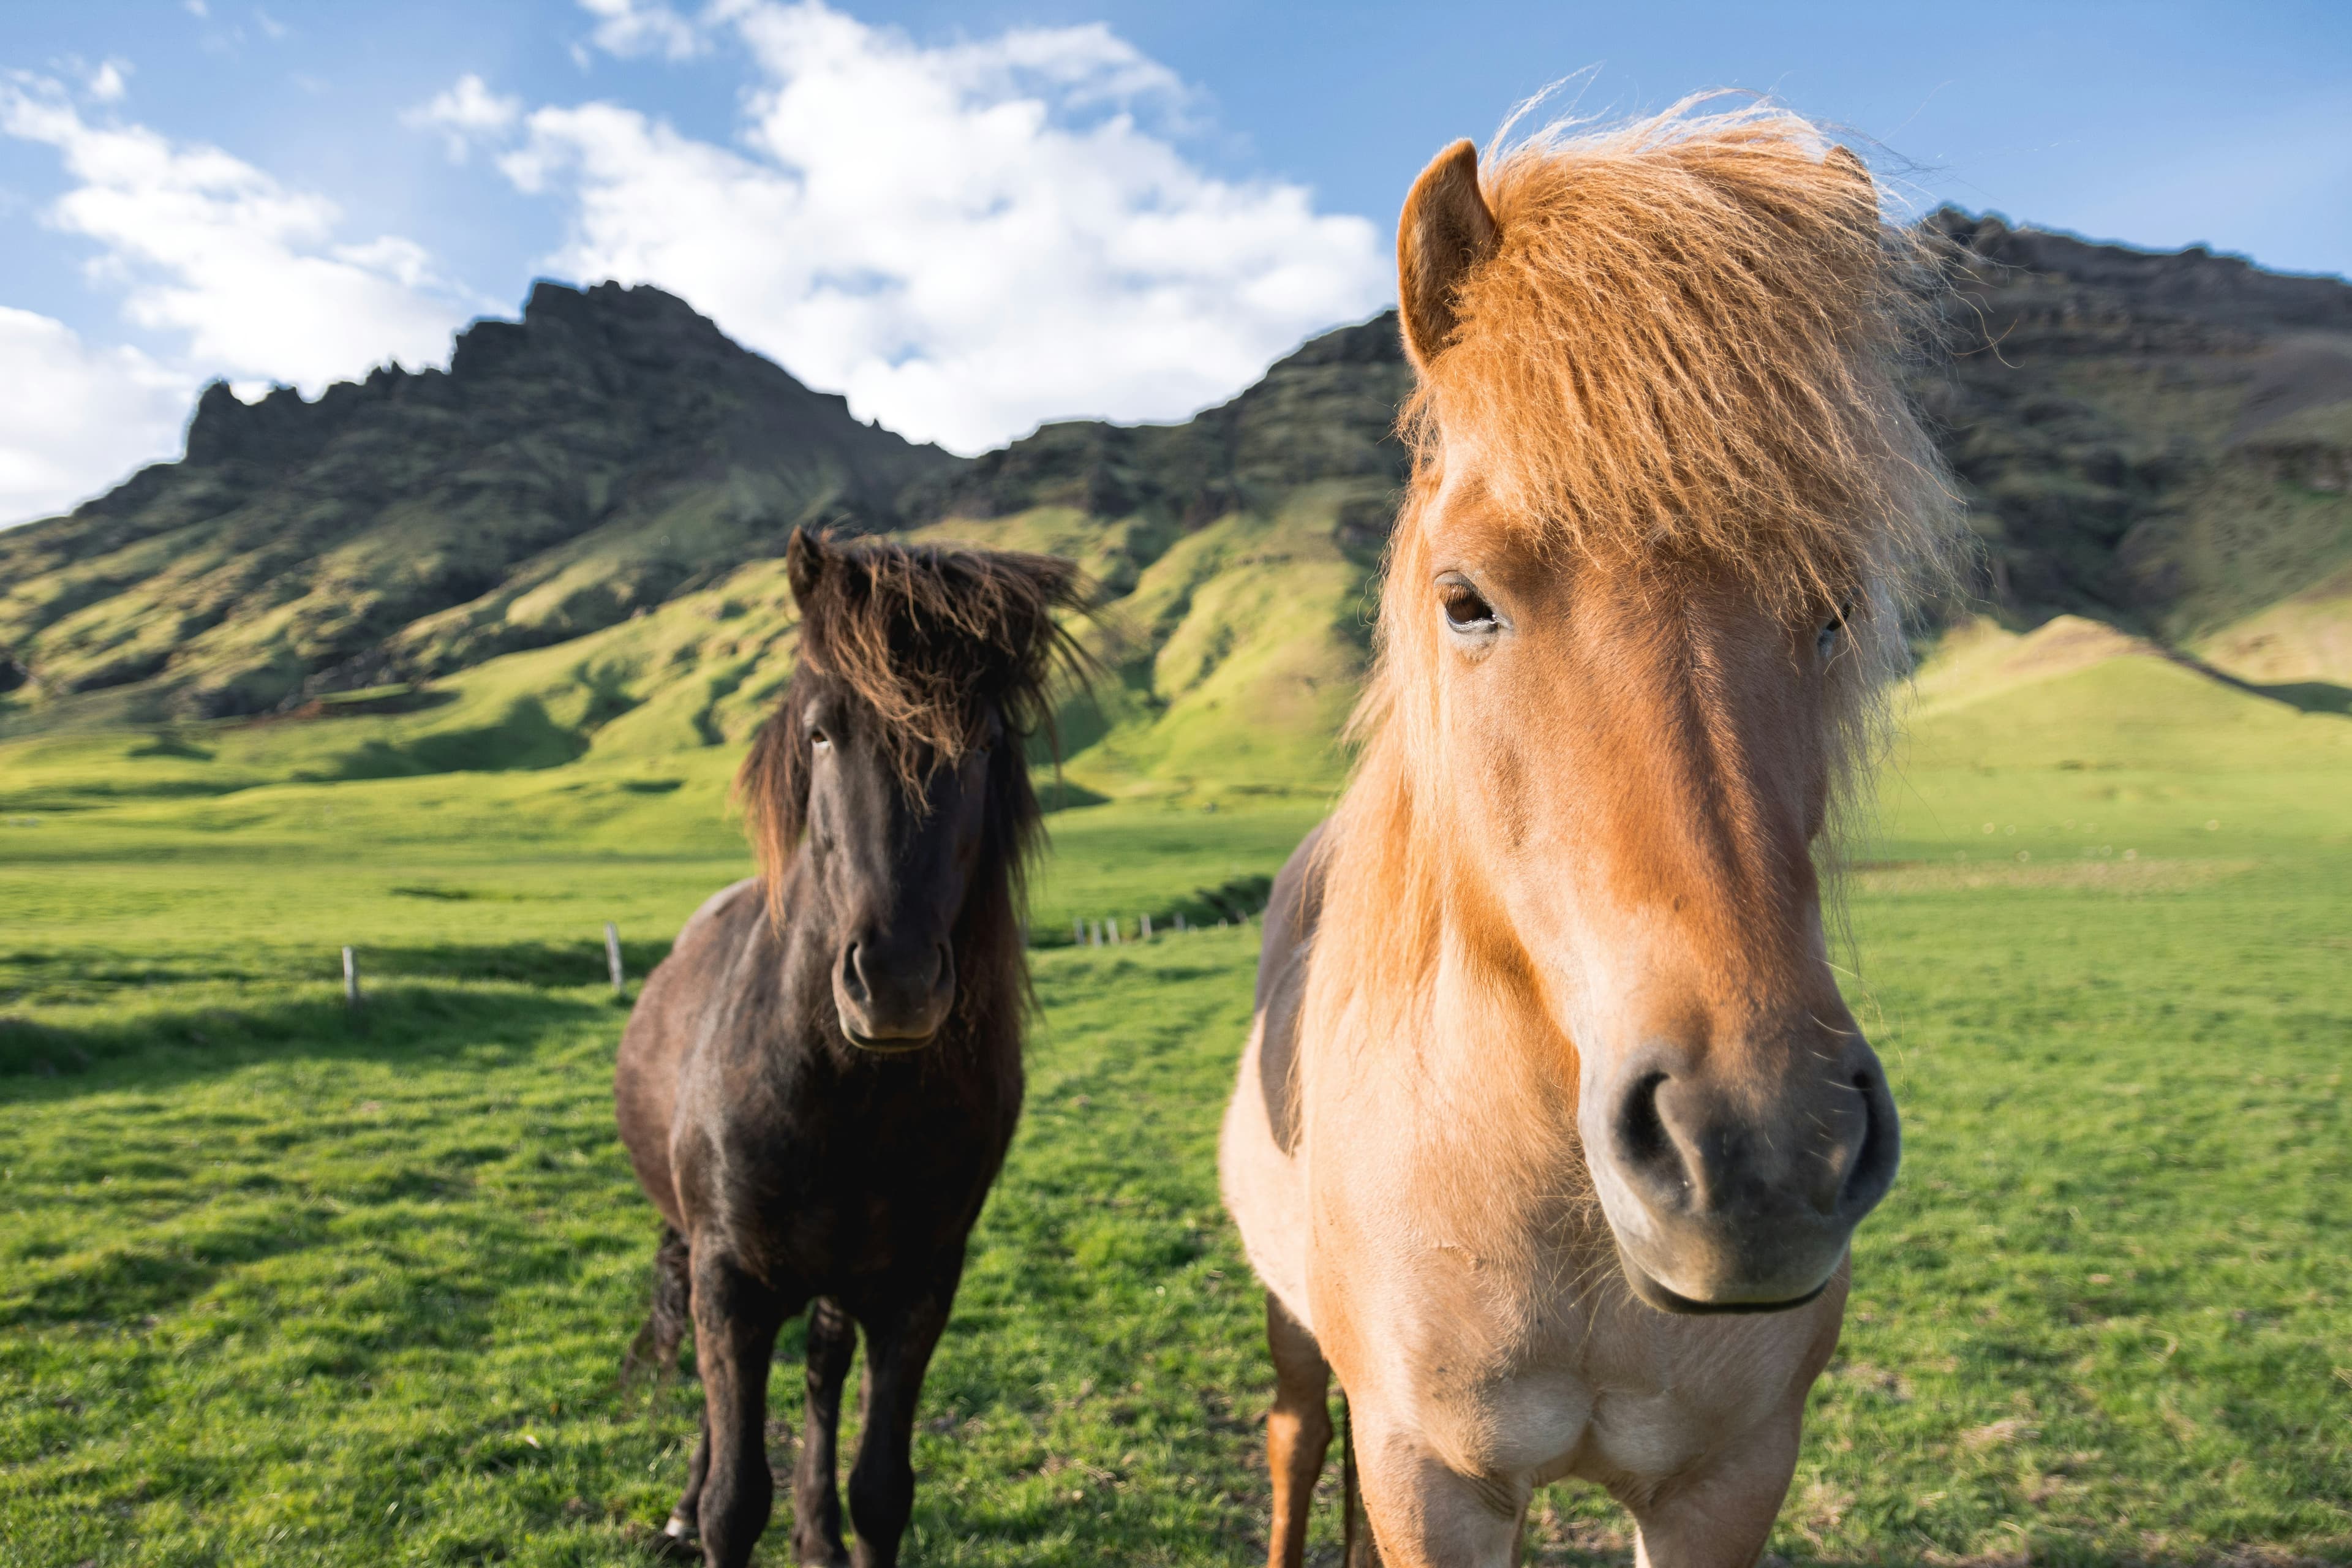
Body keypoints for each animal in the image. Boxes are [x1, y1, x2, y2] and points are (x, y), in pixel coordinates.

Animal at [614, 530, 1087, 1568]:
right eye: (824, 731)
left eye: (986, 742)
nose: (897, 982)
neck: (847, 1099)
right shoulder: (731, 1281)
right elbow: (734, 1500)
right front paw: (704, 1509)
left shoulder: (918, 1287)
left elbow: (880, 1491)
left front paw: (832, 1524)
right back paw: (682, 1505)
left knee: (824, 1374)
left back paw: (815, 1533)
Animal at [1220, 103, 1958, 1568]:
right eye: (1465, 598)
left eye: (1835, 609)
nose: (1761, 1154)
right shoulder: (1430, 1478)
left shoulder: (1729, 1479)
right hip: (1297, 1339)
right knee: (1292, 1441)